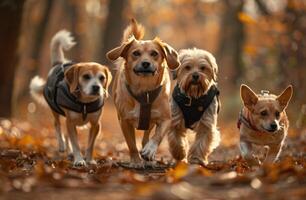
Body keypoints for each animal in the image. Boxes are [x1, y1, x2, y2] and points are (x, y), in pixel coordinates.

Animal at [29, 30, 111, 167]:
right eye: (86, 76)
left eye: (102, 78)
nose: (96, 87)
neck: (85, 103)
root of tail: (58, 63)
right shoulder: (70, 122)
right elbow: (76, 143)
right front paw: (79, 160)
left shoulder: (95, 124)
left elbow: (90, 144)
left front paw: (89, 159)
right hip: (56, 111)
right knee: (57, 125)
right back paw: (62, 146)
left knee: (67, 134)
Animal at [107, 19, 180, 166]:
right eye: (136, 53)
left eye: (154, 53)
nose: (146, 63)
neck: (144, 90)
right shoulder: (124, 121)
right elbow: (131, 144)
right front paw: (136, 161)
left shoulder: (166, 118)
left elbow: (157, 136)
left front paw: (150, 150)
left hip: (150, 122)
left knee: (147, 136)